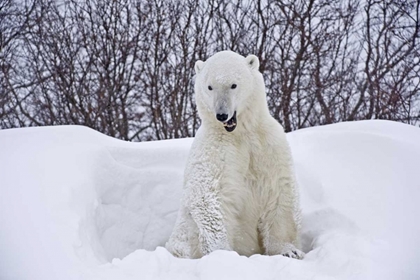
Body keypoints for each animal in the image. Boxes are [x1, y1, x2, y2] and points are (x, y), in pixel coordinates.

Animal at [166, 49, 304, 258]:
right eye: (210, 87)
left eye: (233, 85)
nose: (222, 115)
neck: (239, 132)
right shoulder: (215, 150)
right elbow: (209, 195)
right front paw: (222, 253)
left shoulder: (268, 144)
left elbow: (279, 189)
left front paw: (289, 251)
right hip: (183, 234)